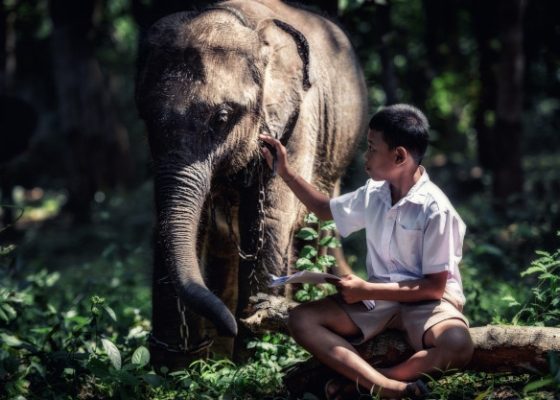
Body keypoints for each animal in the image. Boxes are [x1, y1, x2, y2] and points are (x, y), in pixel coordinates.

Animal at [136, 0, 370, 366]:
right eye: (146, 118)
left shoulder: (298, 122)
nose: (232, 324)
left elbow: (270, 220)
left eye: (221, 118)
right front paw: (171, 368)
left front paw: (252, 355)